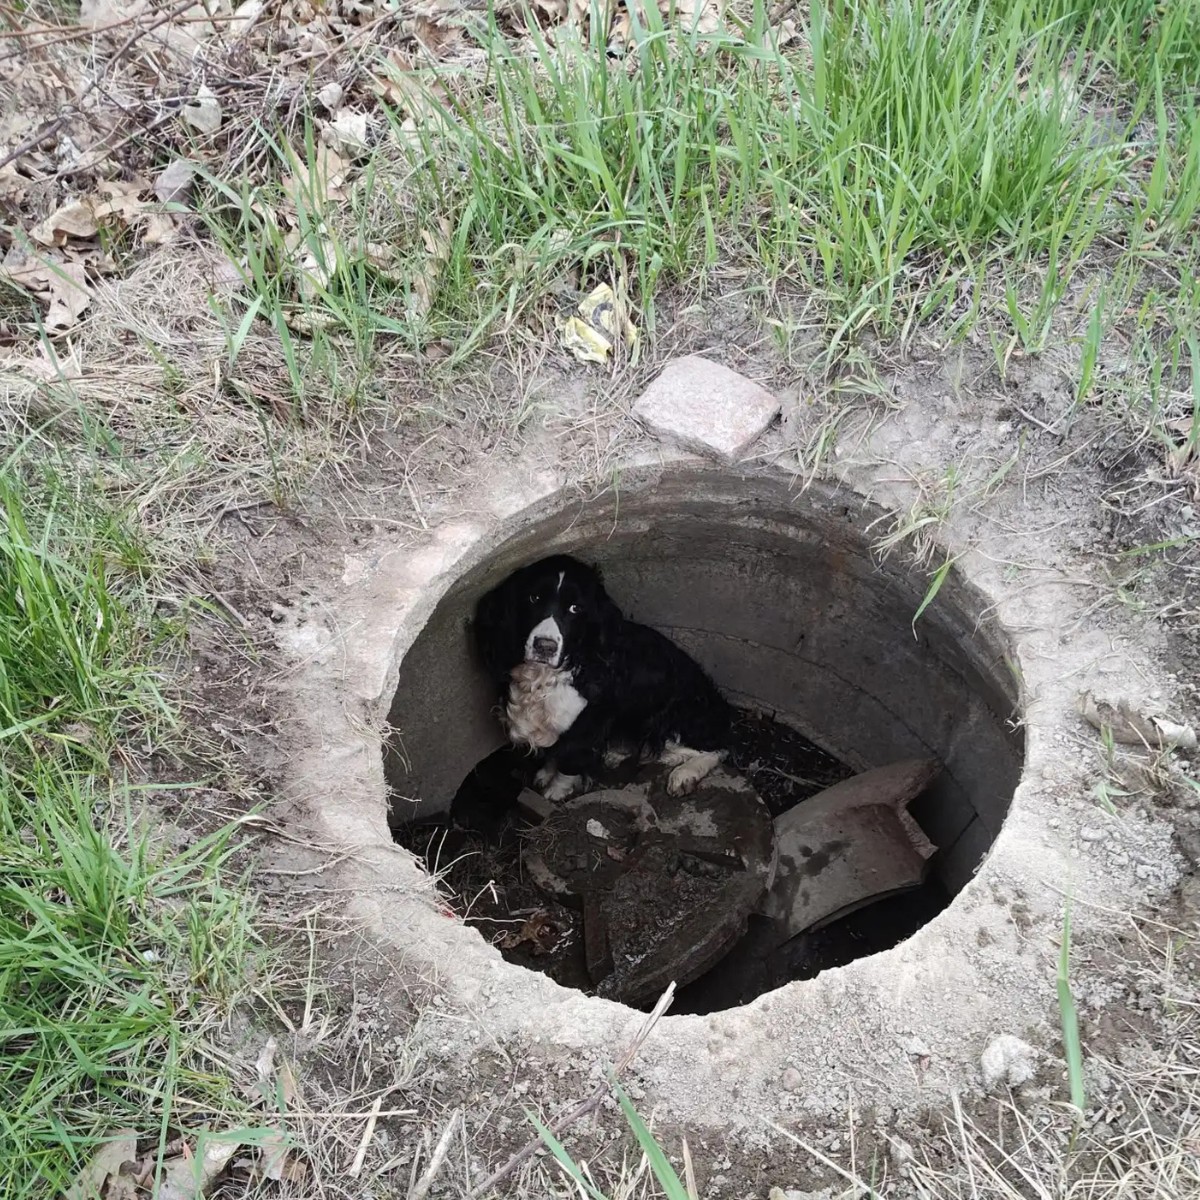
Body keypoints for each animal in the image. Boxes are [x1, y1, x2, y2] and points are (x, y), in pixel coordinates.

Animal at [472, 554, 731, 801]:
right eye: (534, 598)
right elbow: (554, 754)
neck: (545, 677)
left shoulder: (589, 722)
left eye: (576, 608)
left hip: (672, 715)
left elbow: (570, 760)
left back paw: (684, 774)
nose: (544, 647)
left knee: (718, 747)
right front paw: (545, 774)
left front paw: (557, 790)